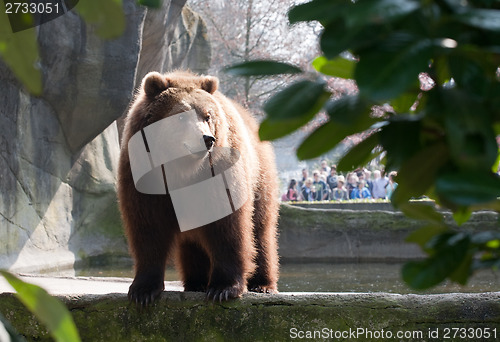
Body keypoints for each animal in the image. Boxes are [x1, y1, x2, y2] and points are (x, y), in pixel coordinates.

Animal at [118, 71, 282, 306]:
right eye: (180, 116)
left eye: (207, 116)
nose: (207, 139)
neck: (181, 170)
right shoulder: (144, 177)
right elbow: (148, 227)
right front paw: (142, 290)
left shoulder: (218, 173)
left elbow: (228, 227)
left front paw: (223, 288)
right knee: (193, 242)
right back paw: (195, 282)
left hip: (260, 176)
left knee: (261, 230)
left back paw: (263, 284)